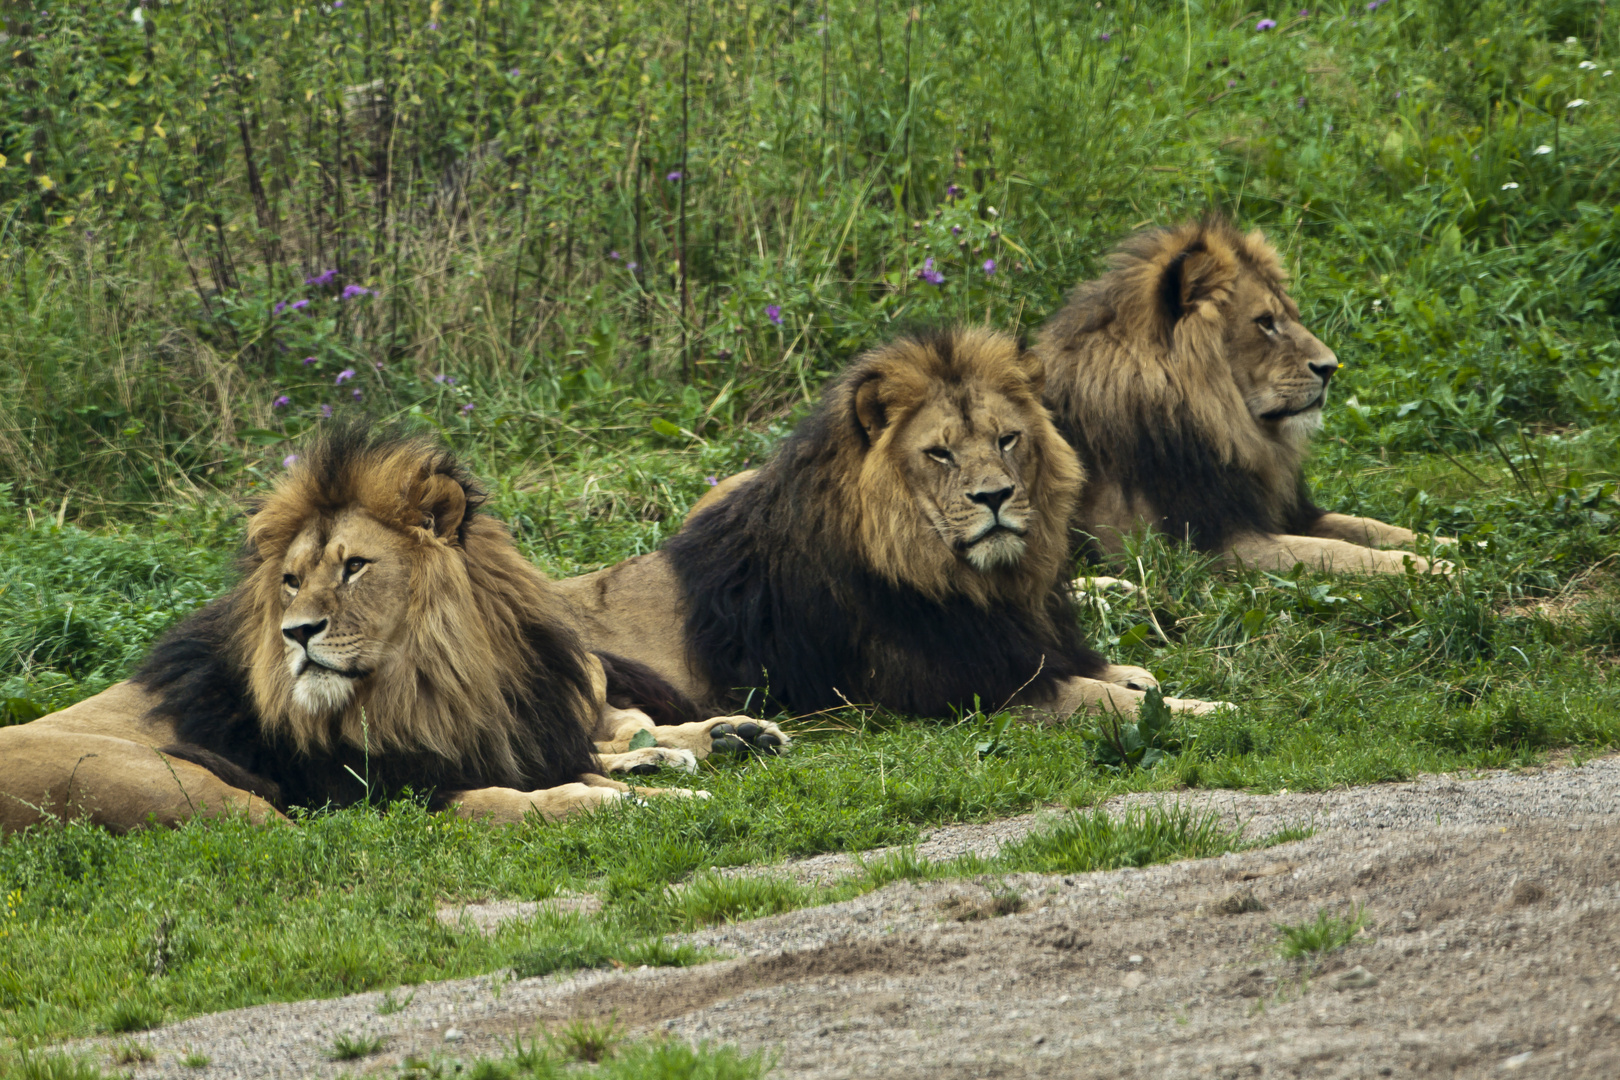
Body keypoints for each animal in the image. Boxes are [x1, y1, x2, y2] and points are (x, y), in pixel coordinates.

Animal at [0, 424, 741, 835]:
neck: (434, 685)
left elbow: (589, 764)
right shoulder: (388, 798)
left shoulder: (510, 742)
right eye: (291, 579)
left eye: (354, 566)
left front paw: (668, 784)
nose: (297, 633)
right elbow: (526, 801)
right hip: (194, 790)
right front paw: (622, 804)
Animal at [560, 325, 1224, 722]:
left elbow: (1109, 673)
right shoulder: (972, 687)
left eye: (1007, 439)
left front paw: (1140, 676)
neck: (979, 583)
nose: (995, 496)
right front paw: (1208, 709)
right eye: (940, 454)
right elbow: (1105, 698)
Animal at [1030, 215, 1451, 579]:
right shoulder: (1208, 548)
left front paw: (1451, 544)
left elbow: (1366, 526)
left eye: (1291, 317)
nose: (1331, 368)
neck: (1230, 430)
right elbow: (1336, 552)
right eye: (1265, 322)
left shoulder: (1282, 512)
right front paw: (1438, 570)